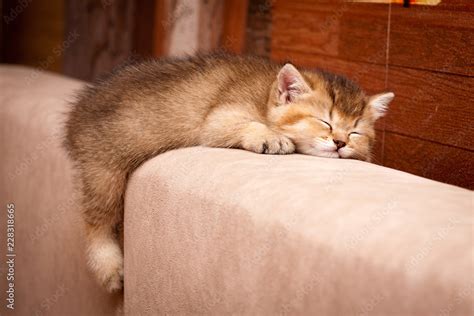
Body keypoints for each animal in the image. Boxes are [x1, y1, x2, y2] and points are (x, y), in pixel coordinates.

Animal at [65, 52, 394, 292]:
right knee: (96, 219)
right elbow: (240, 125)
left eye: (355, 132)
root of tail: (75, 116)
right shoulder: (220, 118)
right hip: (105, 168)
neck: (265, 94)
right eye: (324, 121)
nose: (340, 142)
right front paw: (271, 137)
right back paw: (109, 265)